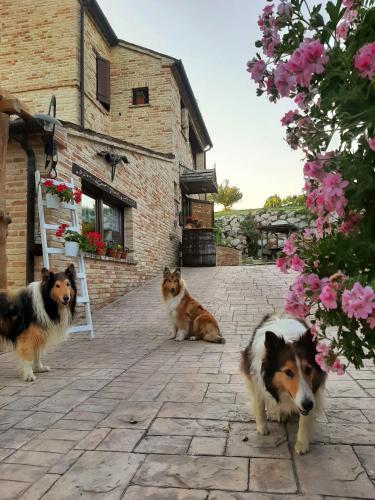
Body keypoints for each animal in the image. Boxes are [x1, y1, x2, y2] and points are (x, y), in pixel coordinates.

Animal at [242, 314, 328, 456]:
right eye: (288, 372)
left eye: (308, 369)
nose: (308, 404)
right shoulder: (255, 379)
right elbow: (259, 405)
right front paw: (262, 427)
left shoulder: (312, 393)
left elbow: (304, 420)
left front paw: (302, 443)